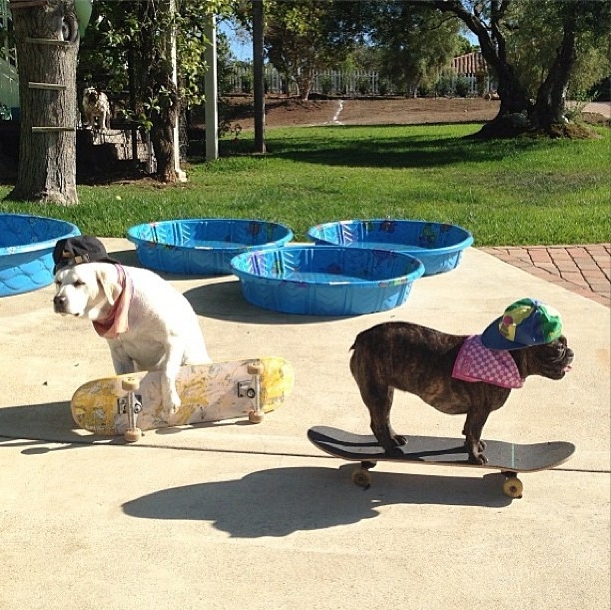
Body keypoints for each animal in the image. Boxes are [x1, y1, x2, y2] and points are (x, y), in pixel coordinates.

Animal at [53, 260, 210, 408]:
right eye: (58, 282)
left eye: (79, 282)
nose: (58, 300)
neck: (125, 308)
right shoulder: (118, 352)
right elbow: (123, 377)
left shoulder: (173, 340)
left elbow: (167, 370)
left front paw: (170, 400)